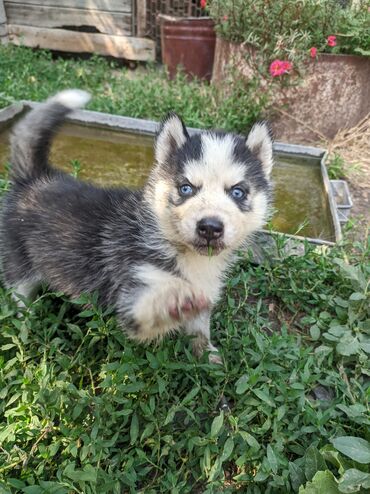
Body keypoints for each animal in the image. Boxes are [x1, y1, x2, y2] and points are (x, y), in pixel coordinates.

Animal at [0, 89, 274, 362]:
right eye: (186, 188)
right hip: (18, 266)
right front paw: (171, 303)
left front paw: (206, 356)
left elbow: (200, 330)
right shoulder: (132, 284)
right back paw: (25, 325)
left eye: (237, 192)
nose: (209, 227)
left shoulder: (205, 291)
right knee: (19, 297)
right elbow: (147, 309)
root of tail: (34, 178)